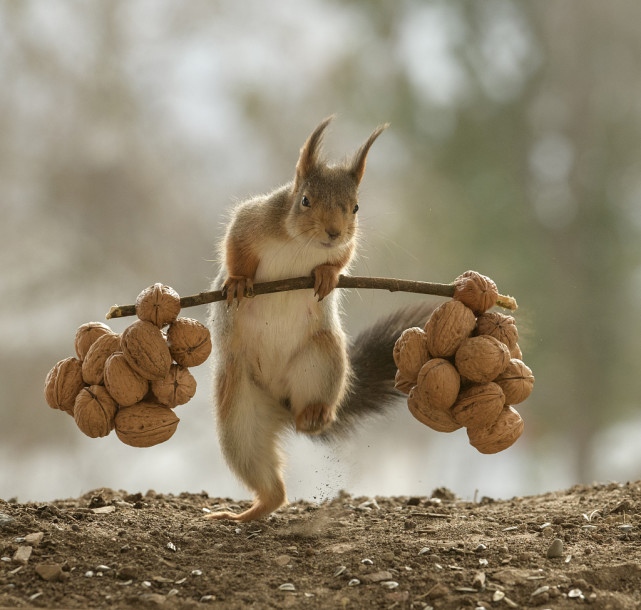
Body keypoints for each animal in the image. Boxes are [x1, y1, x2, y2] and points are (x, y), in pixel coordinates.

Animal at [205, 116, 436, 520]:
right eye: (305, 201)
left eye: (355, 208)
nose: (333, 232)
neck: (303, 244)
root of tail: (281, 405)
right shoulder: (252, 220)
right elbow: (235, 248)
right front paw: (237, 282)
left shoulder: (347, 244)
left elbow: (343, 259)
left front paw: (327, 275)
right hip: (239, 407)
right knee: (264, 476)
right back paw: (246, 512)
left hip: (324, 359)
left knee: (314, 417)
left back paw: (315, 416)